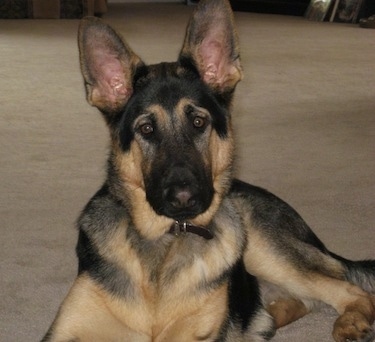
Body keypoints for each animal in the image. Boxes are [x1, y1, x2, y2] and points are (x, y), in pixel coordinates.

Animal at [41, 0, 375, 342]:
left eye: (199, 122)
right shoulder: (62, 332)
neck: (165, 241)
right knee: (294, 303)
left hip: (267, 250)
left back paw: (347, 321)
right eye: (146, 129)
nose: (184, 198)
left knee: (351, 291)